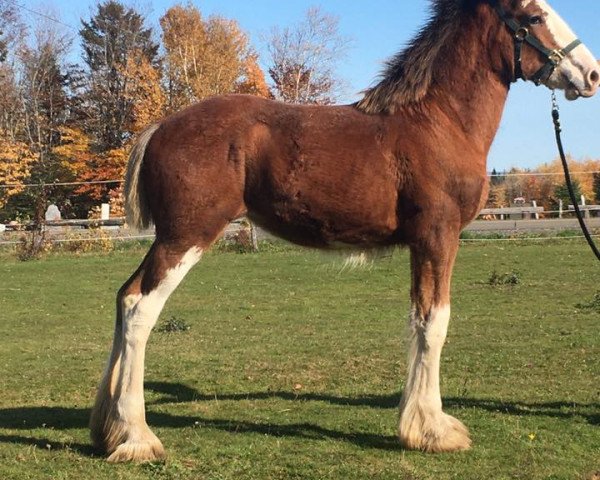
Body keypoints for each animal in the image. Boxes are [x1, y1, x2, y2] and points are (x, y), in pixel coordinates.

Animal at [90, 0, 600, 464]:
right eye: (534, 16)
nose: (591, 74)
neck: (437, 122)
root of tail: (160, 126)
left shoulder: (422, 244)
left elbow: (418, 320)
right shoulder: (438, 236)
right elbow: (434, 323)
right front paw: (433, 431)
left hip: (171, 239)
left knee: (122, 296)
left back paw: (106, 429)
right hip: (186, 236)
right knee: (140, 308)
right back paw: (136, 438)